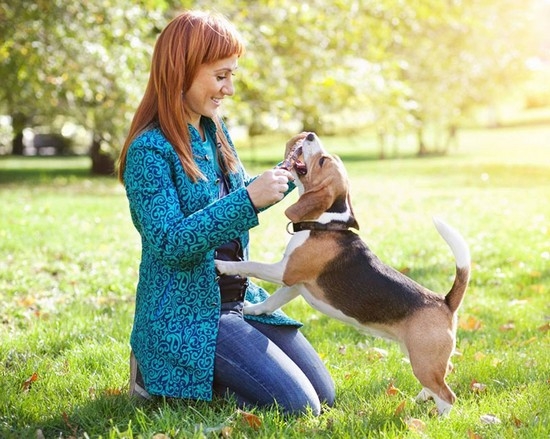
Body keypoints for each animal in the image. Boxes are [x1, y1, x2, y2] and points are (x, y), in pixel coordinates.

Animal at [215, 133, 470, 416]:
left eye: (322, 160)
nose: (310, 135)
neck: (325, 223)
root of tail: (445, 302)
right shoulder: (295, 284)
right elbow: (270, 302)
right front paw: (251, 310)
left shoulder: (284, 272)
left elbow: (251, 265)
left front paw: (222, 265)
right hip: (419, 355)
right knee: (445, 372)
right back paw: (421, 398)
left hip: (423, 360)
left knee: (447, 395)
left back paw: (439, 418)